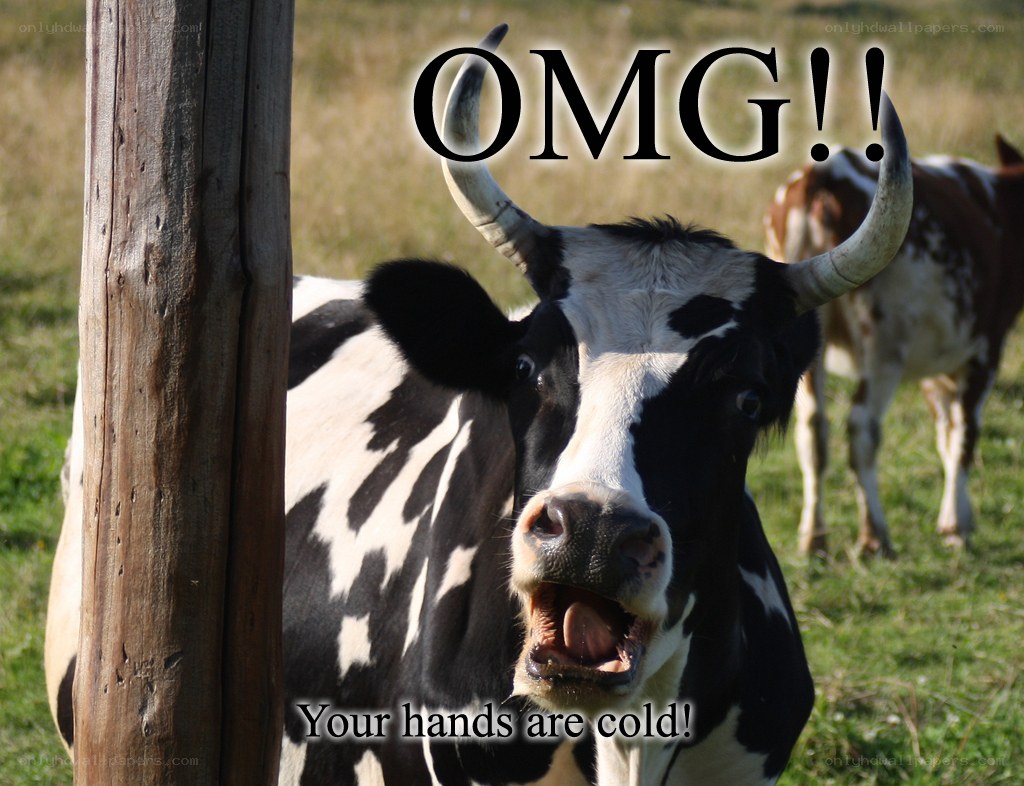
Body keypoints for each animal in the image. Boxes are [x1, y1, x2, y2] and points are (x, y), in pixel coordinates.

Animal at [765, 135, 1024, 557]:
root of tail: (826, 172)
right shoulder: (985, 350)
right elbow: (964, 436)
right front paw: (957, 525)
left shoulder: (937, 369)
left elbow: (945, 434)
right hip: (885, 345)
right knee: (862, 428)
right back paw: (874, 536)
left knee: (812, 431)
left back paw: (814, 537)